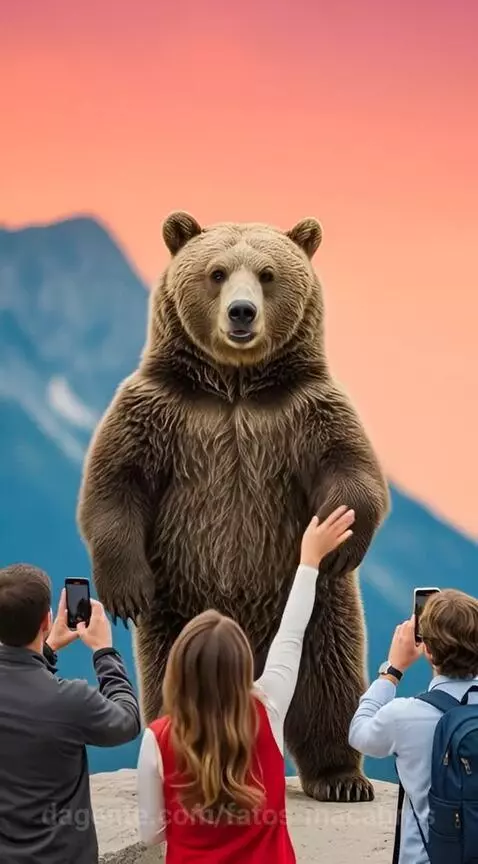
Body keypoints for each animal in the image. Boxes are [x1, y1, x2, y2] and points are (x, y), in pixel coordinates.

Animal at [77, 211, 390, 803]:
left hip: (317, 607)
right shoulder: (159, 411)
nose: (241, 312)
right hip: (178, 600)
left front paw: (342, 540)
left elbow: (353, 468)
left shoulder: (306, 410)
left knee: (330, 675)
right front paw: (124, 588)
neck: (234, 385)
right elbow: (115, 483)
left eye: (267, 274)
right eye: (217, 272)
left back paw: (341, 777)